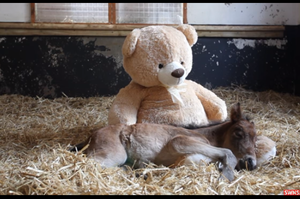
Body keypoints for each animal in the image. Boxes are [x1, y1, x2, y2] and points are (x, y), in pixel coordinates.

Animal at [70, 102, 258, 182]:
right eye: (238, 132)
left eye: (256, 140)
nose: (251, 163)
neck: (207, 136)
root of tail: (92, 135)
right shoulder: (180, 141)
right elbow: (228, 153)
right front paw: (226, 176)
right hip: (113, 154)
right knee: (88, 163)